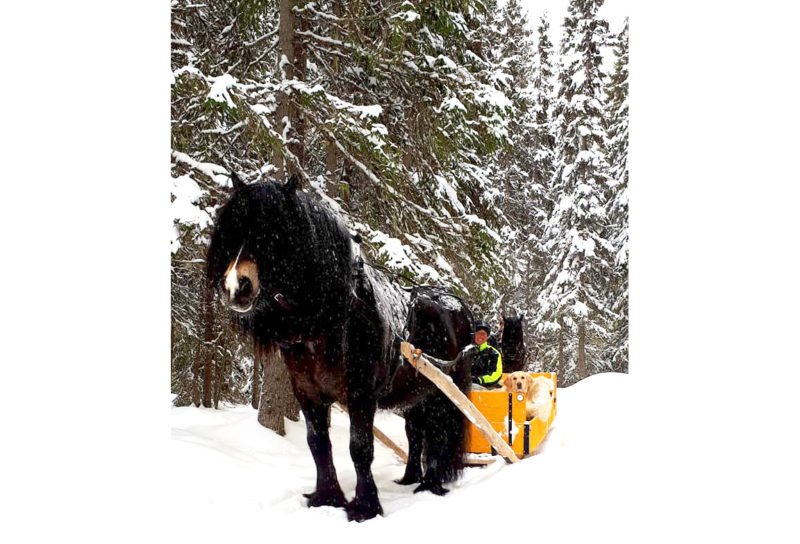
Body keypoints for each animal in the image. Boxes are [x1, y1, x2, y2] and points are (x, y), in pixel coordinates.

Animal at [203, 175, 476, 524]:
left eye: (276, 230)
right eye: (233, 229)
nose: (235, 286)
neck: (333, 318)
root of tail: (458, 306)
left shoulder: (360, 394)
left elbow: (359, 447)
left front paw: (364, 507)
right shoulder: (308, 393)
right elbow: (318, 444)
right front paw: (327, 497)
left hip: (442, 393)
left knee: (439, 435)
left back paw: (432, 484)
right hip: (415, 395)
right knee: (416, 434)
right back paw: (411, 478)